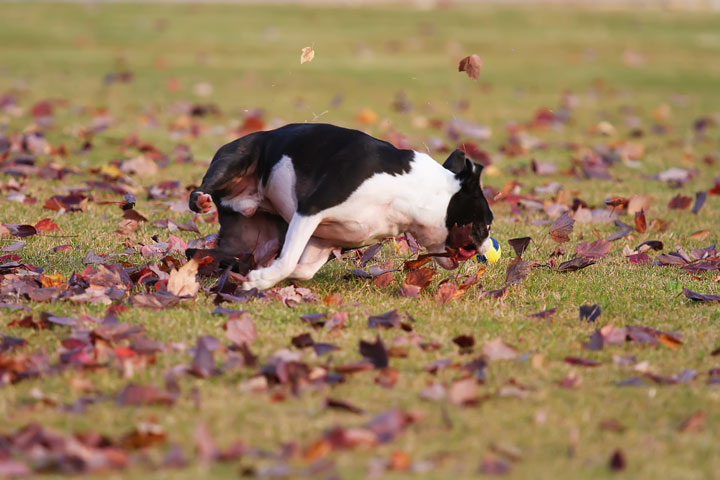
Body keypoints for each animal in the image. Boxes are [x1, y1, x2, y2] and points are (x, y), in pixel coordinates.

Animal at [191, 123, 496, 288]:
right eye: (487, 225)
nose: (489, 244)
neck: (414, 192)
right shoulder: (310, 211)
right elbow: (288, 260)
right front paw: (262, 281)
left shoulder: (323, 238)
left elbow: (303, 268)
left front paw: (262, 275)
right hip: (236, 158)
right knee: (202, 191)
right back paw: (201, 199)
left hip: (250, 239)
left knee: (206, 252)